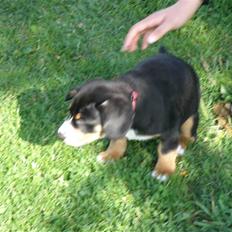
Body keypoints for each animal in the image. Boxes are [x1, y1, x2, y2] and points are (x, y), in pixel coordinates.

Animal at [58, 47, 199, 181]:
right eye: (71, 114)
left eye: (81, 120)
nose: (59, 135)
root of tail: (168, 54)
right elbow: (117, 140)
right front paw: (111, 154)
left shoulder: (170, 130)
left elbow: (166, 150)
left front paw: (163, 171)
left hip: (191, 114)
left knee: (190, 135)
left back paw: (180, 146)